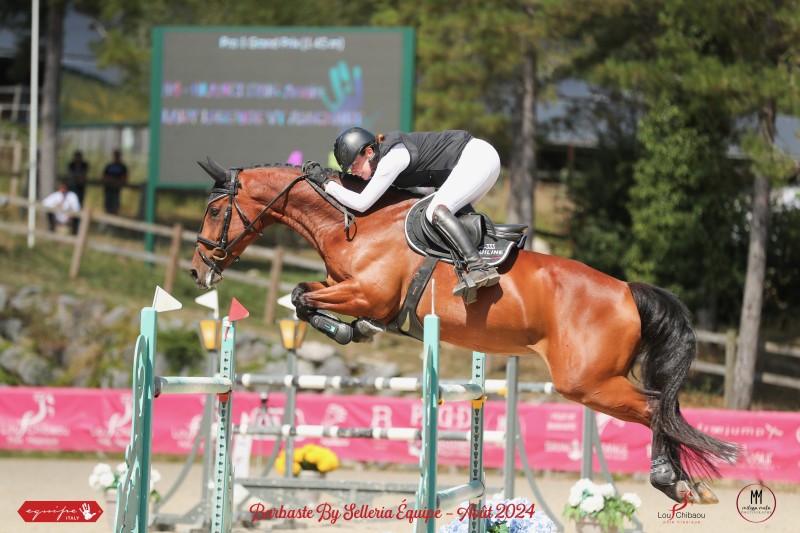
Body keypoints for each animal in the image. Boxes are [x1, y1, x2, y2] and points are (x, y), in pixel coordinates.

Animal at [189, 160, 739, 505]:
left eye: (215, 211)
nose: (197, 273)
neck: (354, 222)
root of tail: (627, 291)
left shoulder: (367, 293)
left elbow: (305, 298)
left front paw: (352, 332)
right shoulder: (344, 287)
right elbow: (302, 294)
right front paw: (353, 331)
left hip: (586, 383)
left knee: (655, 409)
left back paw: (673, 482)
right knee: (662, 410)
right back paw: (688, 485)